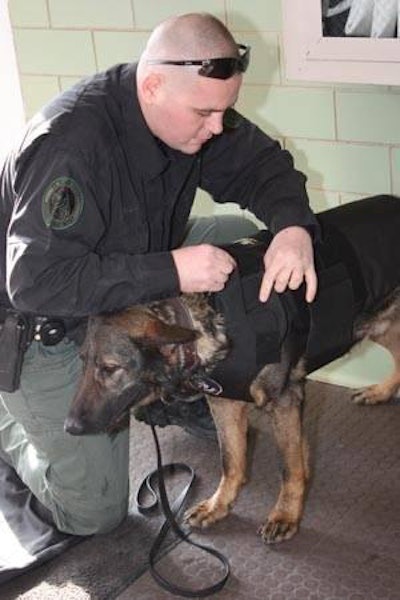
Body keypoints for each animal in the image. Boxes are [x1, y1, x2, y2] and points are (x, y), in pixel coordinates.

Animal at [64, 197, 400, 544]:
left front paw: (286, 515)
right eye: (83, 361)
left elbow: (289, 468)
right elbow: (231, 460)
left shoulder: (284, 402)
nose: (69, 427)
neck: (200, 320)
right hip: (378, 321)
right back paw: (381, 391)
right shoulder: (224, 403)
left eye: (110, 368)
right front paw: (219, 505)